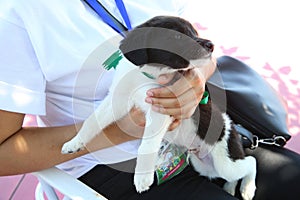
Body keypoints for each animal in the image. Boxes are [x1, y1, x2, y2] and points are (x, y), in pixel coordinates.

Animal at [61, 16, 255, 200]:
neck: (148, 74)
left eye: (195, 32)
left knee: (251, 162)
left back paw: (247, 189)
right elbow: (91, 121)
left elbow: (146, 146)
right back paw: (230, 187)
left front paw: (142, 177)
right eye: (177, 36)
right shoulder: (118, 99)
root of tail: (233, 127)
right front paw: (75, 142)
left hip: (225, 162)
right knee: (236, 172)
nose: (212, 45)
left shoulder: (161, 108)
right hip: (204, 166)